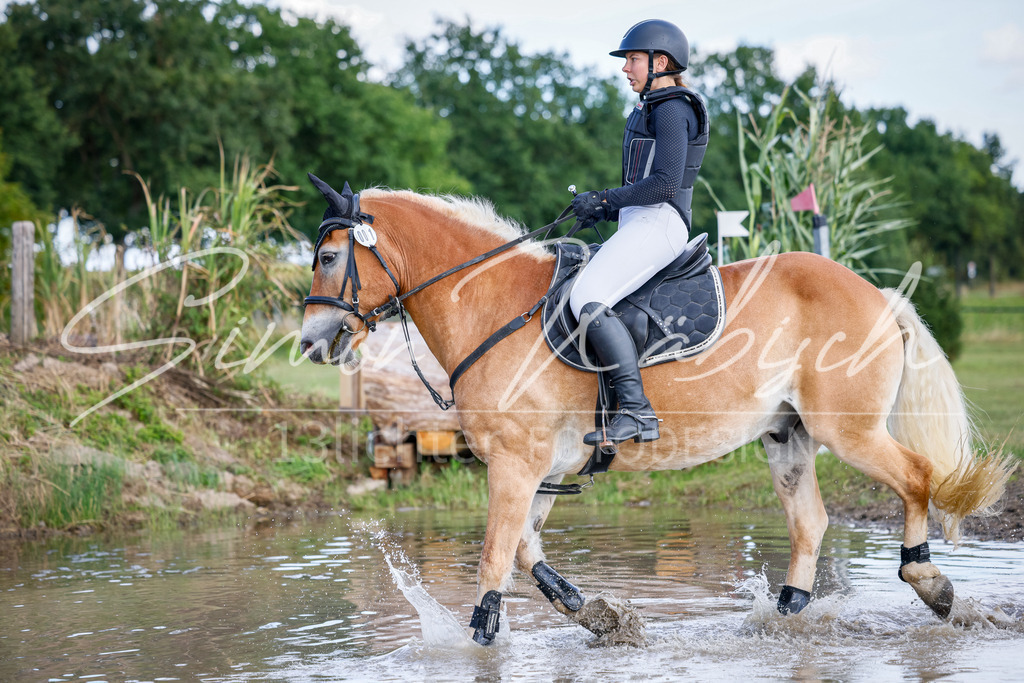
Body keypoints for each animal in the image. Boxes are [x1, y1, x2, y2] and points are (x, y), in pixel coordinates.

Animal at [299, 177, 1014, 645]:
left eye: (330, 257)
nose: (309, 343)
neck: (494, 304)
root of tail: (877, 293)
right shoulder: (537, 469)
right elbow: (527, 553)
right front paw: (593, 614)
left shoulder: (515, 464)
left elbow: (494, 561)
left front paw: (485, 639)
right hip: (787, 436)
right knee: (810, 523)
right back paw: (786, 616)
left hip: (851, 433)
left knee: (917, 478)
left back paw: (931, 583)